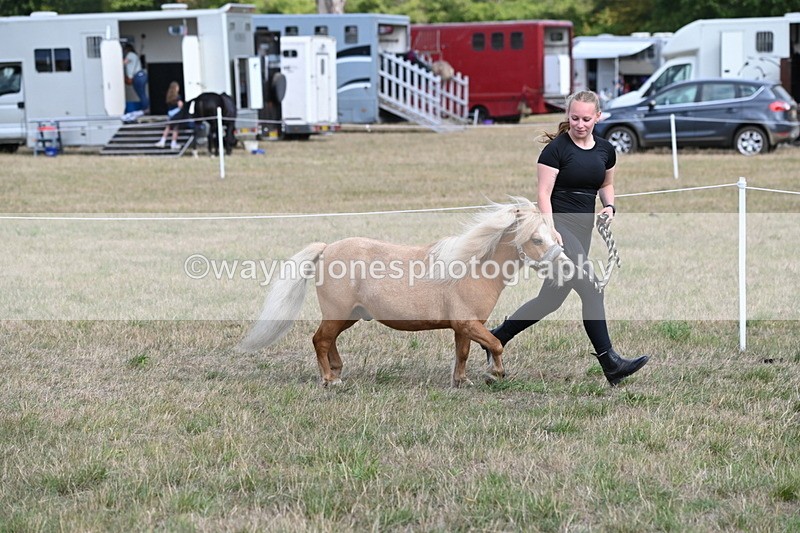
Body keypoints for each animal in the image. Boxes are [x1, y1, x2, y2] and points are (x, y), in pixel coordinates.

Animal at [238, 198, 570, 388]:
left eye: (554, 236)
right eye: (537, 239)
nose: (566, 267)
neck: (472, 266)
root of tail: (327, 248)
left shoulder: (463, 326)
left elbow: (463, 353)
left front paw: (462, 381)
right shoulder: (468, 323)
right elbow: (496, 345)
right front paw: (495, 374)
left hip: (349, 316)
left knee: (328, 341)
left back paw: (337, 371)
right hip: (337, 313)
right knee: (320, 340)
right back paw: (330, 380)